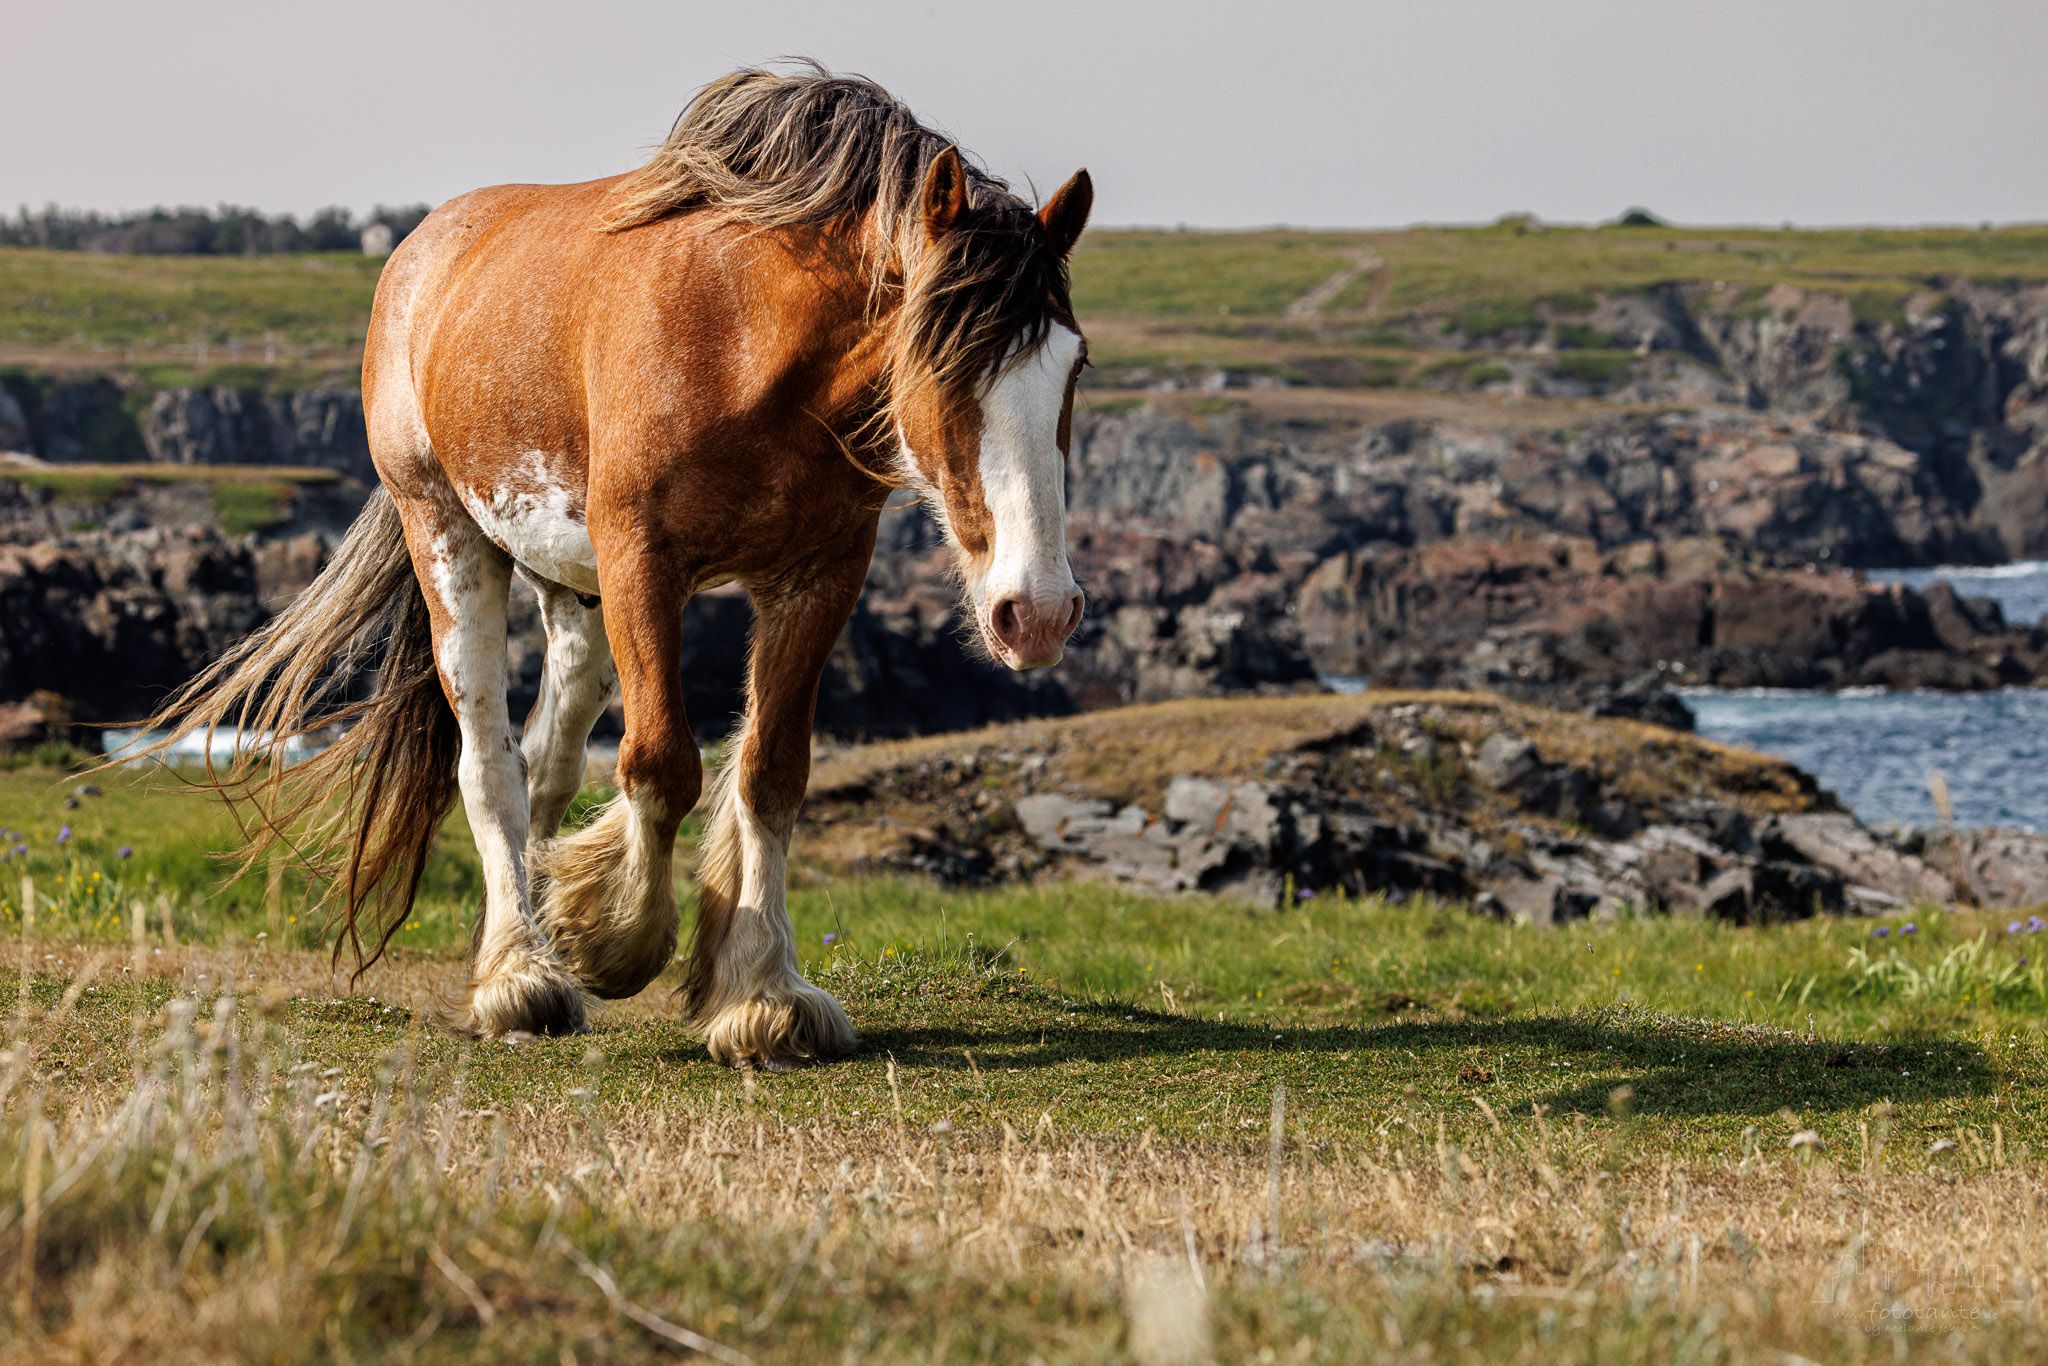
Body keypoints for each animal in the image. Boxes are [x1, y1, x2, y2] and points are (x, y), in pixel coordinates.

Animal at [130, 63, 1093, 1069]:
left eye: (1074, 366)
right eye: (942, 363)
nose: (1039, 612)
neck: (744, 341)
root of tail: (422, 252)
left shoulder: (820, 575)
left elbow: (771, 772)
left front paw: (761, 992)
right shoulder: (643, 561)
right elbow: (662, 762)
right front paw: (613, 938)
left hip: (578, 600)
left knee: (546, 763)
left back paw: (525, 939)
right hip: (452, 541)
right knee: (490, 766)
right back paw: (522, 977)